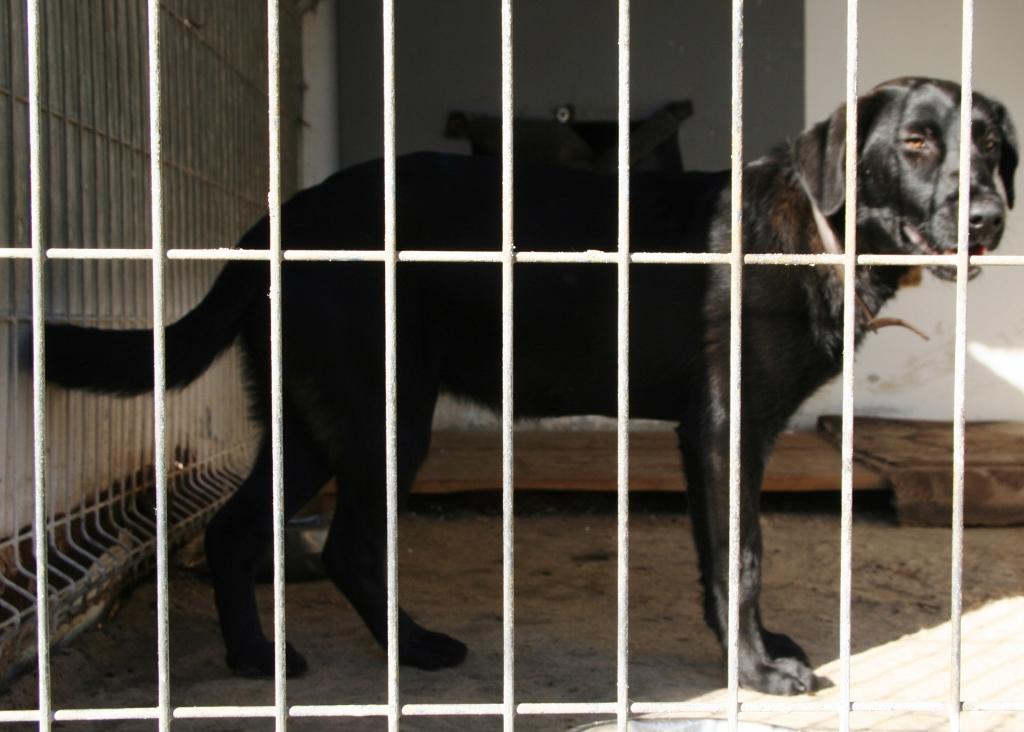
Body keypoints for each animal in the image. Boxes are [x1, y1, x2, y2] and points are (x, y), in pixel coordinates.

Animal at [45, 78, 1016, 695]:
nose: (989, 216)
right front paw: (756, 672)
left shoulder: (719, 437)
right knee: (348, 544)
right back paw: (412, 649)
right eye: (916, 142)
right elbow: (740, 557)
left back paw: (255, 656)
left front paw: (752, 650)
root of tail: (288, 213)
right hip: (383, 414)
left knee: (237, 526)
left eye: (993, 145)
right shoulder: (723, 425)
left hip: (312, 419)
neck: (817, 231)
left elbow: (724, 556)